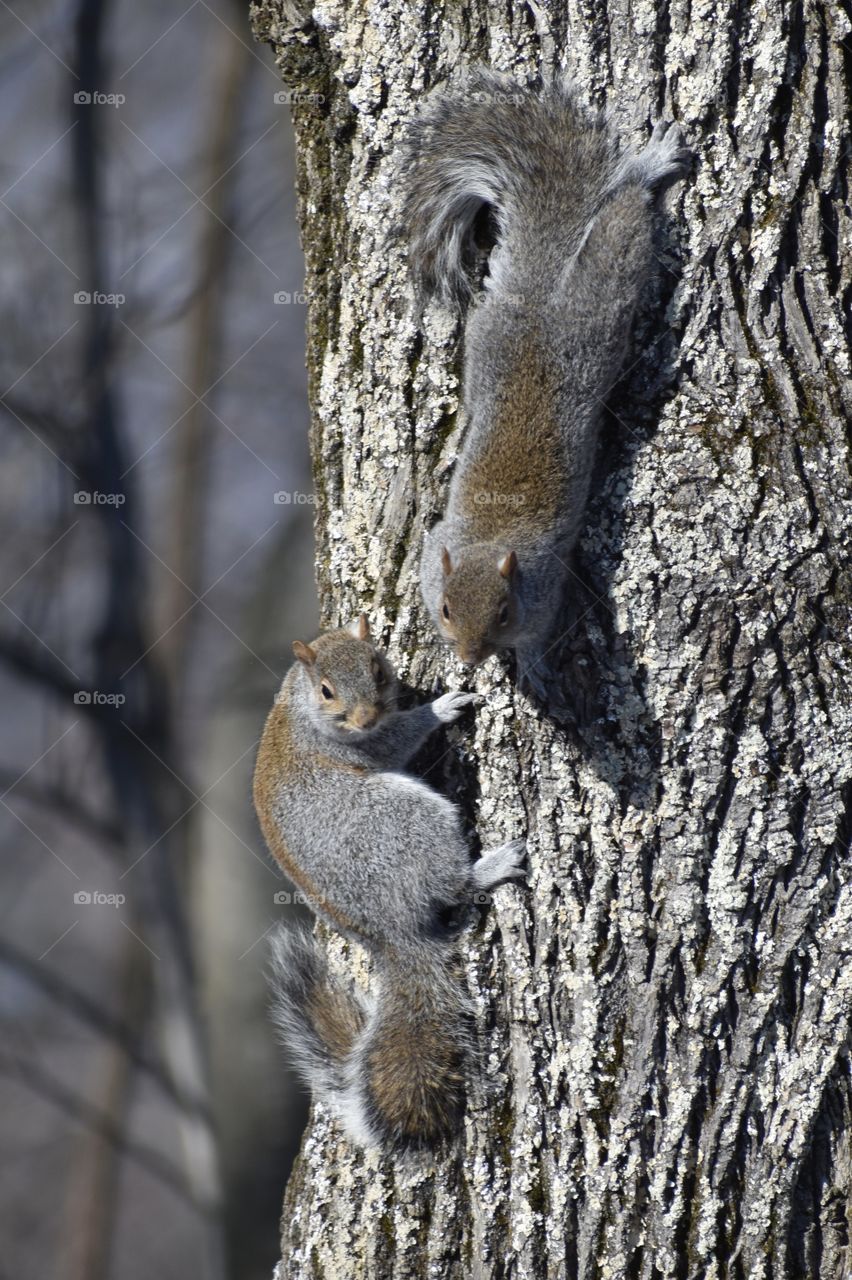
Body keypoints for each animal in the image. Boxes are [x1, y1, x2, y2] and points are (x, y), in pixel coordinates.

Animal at [253, 614, 526, 1152]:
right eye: (326, 690)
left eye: (378, 670)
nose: (364, 719)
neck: (299, 706)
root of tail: (391, 934)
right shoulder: (365, 743)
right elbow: (398, 737)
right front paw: (441, 707)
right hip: (405, 820)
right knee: (452, 885)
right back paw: (490, 867)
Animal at [402, 69, 691, 686]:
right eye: (444, 608)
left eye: (504, 612)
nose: (468, 657)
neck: (488, 541)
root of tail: (540, 294)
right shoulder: (435, 552)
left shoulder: (547, 587)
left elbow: (540, 637)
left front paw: (534, 670)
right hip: (488, 340)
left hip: (600, 307)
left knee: (623, 221)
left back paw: (649, 166)